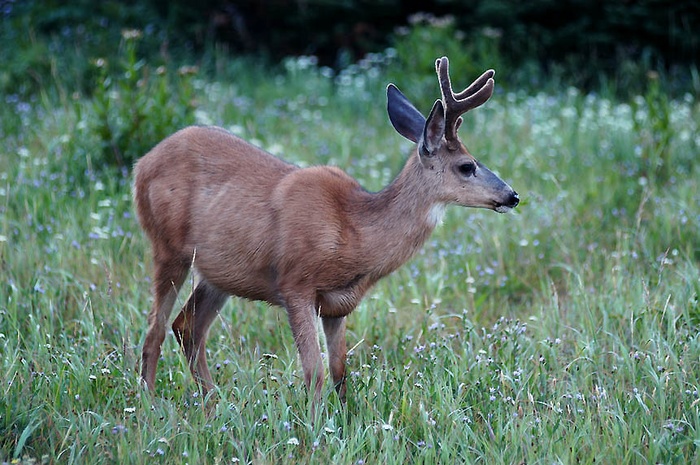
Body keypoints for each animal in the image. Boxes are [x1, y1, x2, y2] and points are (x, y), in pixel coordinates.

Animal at [134, 56, 519, 407]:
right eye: (467, 166)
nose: (512, 196)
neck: (354, 232)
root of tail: (141, 165)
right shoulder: (295, 283)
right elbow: (314, 372)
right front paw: (316, 426)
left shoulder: (338, 305)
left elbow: (340, 373)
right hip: (168, 247)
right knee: (155, 328)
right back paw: (150, 403)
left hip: (218, 273)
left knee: (187, 327)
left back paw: (215, 403)